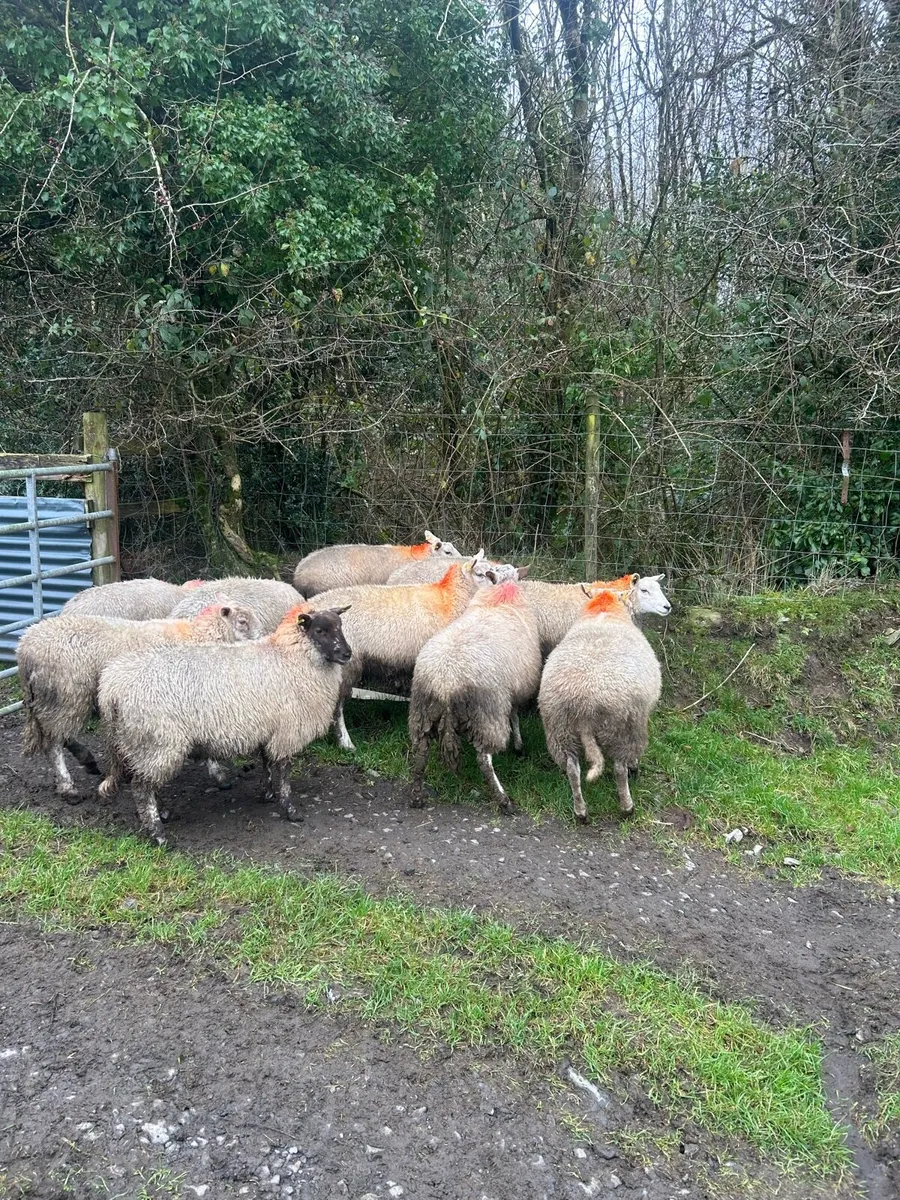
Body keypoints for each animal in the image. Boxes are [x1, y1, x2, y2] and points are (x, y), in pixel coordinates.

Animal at [18, 603, 261, 799]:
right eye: (242, 621)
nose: (261, 640)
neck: (197, 635)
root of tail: (25, 648)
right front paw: (219, 775)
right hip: (66, 696)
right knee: (53, 745)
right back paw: (69, 788)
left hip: (54, 701)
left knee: (59, 735)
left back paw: (87, 761)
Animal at [97, 605, 351, 846]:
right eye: (320, 631)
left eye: (340, 626)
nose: (347, 654)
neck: (290, 656)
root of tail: (111, 687)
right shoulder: (286, 732)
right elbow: (283, 772)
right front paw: (290, 809)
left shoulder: (268, 728)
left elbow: (267, 764)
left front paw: (267, 794)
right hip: (157, 741)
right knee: (141, 788)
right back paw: (158, 834)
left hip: (137, 741)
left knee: (143, 781)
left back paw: (162, 814)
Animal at [409, 572, 540, 814]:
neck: (500, 598)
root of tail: (446, 683)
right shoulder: (513, 692)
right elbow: (515, 716)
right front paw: (518, 746)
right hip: (488, 714)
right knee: (484, 760)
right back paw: (503, 800)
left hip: (421, 712)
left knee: (421, 753)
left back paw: (416, 796)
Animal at [538, 587, 662, 822]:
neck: (603, 610)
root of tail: (585, 707)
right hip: (623, 727)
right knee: (620, 769)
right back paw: (627, 806)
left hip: (560, 729)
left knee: (572, 769)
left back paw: (580, 811)